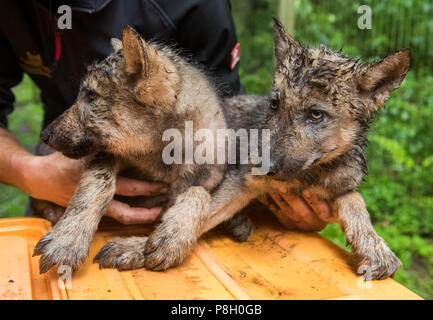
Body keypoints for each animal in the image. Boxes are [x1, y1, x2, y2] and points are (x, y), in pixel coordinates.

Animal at [33, 26, 226, 272]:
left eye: (91, 95)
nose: (44, 135)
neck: (161, 157)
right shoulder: (106, 155)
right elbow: (100, 183)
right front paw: (67, 240)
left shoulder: (197, 182)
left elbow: (199, 194)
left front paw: (170, 238)